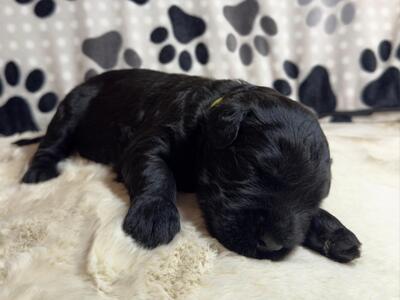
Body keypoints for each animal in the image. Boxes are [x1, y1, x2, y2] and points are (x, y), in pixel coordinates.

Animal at [20, 69, 360, 262]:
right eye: (254, 169)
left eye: (315, 198)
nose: (273, 244)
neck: (209, 114)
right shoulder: (148, 142)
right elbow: (157, 173)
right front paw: (155, 217)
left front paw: (336, 233)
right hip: (71, 109)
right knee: (50, 143)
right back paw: (38, 174)